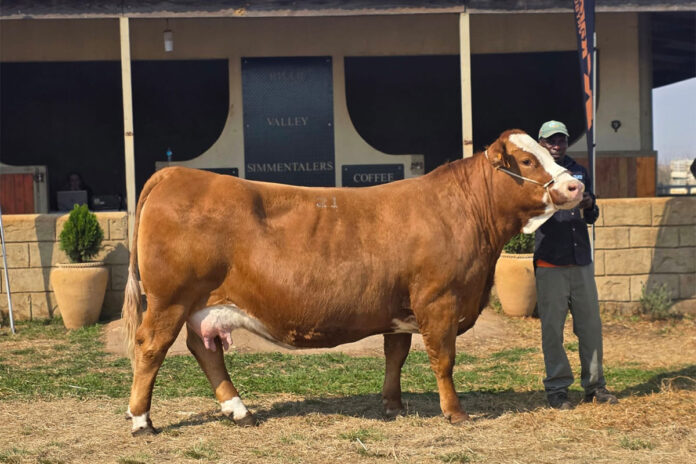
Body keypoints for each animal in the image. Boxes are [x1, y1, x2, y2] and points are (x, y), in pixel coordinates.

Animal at [122, 129, 584, 435]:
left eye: (548, 152)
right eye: (528, 162)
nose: (574, 185)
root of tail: (177, 174)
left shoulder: (401, 308)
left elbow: (395, 355)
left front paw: (393, 405)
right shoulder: (439, 300)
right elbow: (444, 359)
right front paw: (455, 413)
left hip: (202, 305)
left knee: (204, 349)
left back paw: (239, 409)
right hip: (169, 300)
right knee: (150, 347)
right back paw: (142, 420)